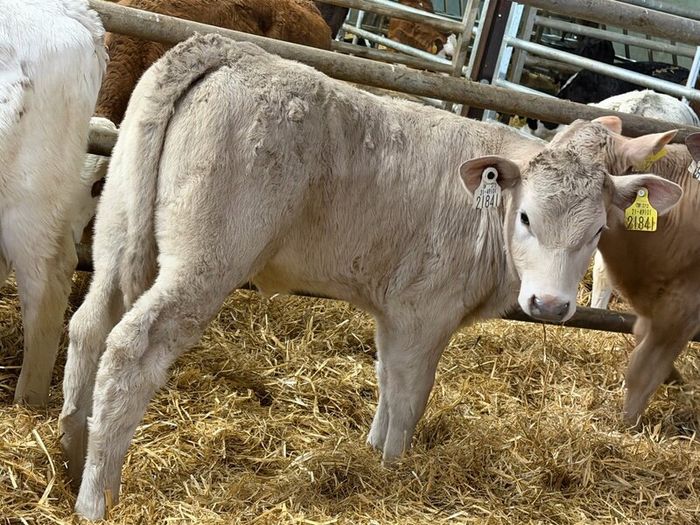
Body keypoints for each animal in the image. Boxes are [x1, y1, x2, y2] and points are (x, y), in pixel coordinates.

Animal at [57, 34, 682, 520]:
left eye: (599, 230)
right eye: (526, 216)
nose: (550, 305)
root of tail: (228, 49)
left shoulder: (394, 311)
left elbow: (385, 383)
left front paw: (372, 450)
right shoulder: (424, 311)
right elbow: (410, 394)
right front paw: (393, 470)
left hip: (117, 227)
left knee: (90, 324)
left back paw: (70, 451)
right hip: (206, 260)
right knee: (131, 345)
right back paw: (96, 498)